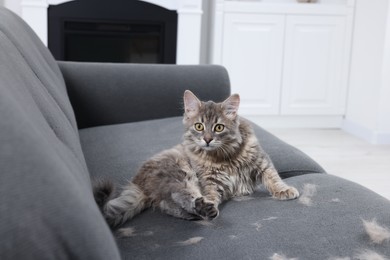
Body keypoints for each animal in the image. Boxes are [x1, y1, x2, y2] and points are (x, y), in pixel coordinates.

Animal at [93, 90, 298, 228]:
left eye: (218, 127)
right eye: (199, 126)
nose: (207, 139)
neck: (225, 156)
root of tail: (138, 182)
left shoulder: (262, 163)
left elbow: (273, 178)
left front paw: (284, 190)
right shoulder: (209, 181)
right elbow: (211, 195)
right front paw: (209, 205)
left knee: (166, 204)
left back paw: (196, 213)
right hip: (181, 174)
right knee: (179, 197)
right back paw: (202, 209)